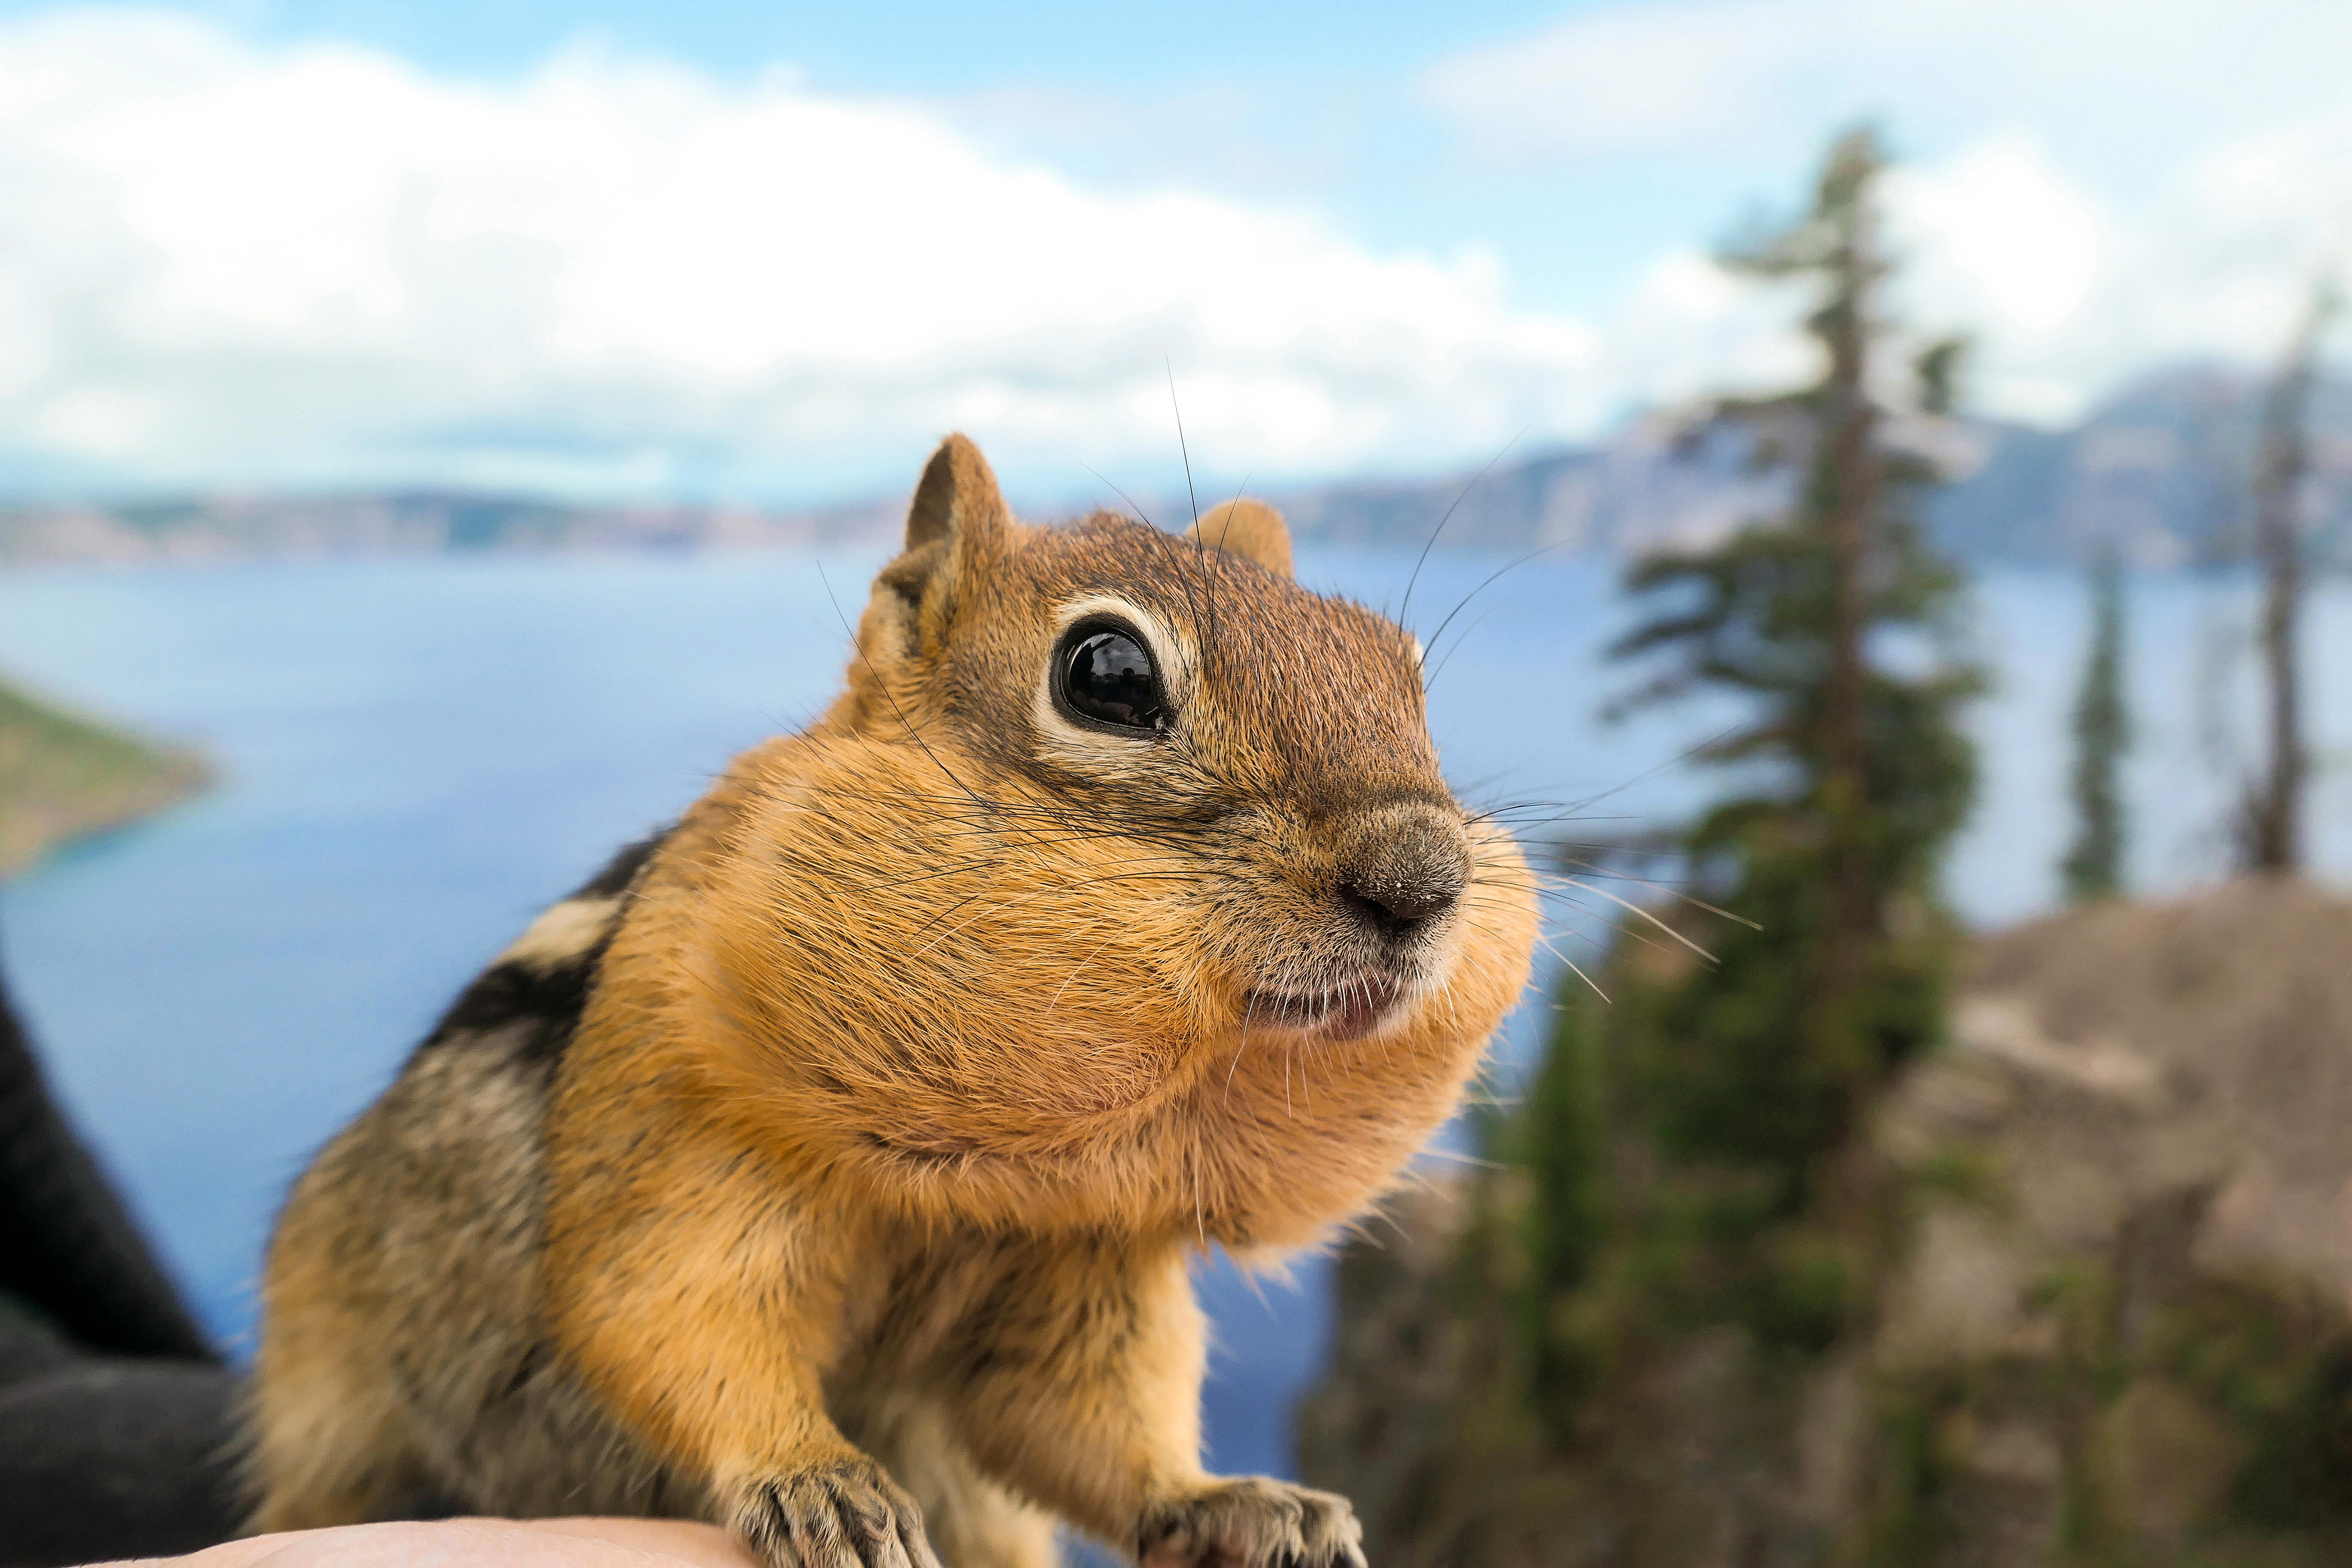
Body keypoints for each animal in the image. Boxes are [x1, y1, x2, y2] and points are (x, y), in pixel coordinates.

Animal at [248, 435, 1543, 1568]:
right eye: (1108, 673)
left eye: (1400, 664)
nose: (1422, 880)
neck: (1000, 1187)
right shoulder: (678, 1122)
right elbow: (662, 1311)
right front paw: (813, 1479)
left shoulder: (1092, 1264)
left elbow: (1085, 1423)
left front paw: (1228, 1499)